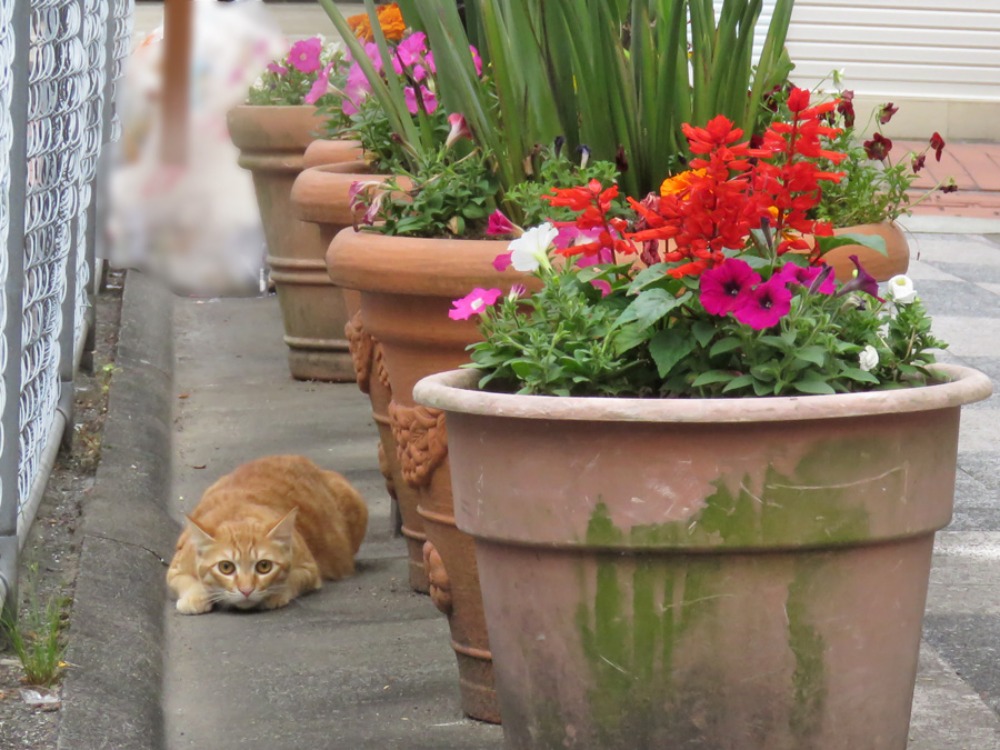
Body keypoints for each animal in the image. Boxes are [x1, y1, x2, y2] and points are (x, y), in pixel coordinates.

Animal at [166, 456, 370, 612]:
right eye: (226, 567)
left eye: (264, 566)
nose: (246, 590)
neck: (237, 513)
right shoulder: (175, 570)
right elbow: (188, 582)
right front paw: (196, 597)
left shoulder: (309, 569)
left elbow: (291, 580)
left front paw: (276, 593)